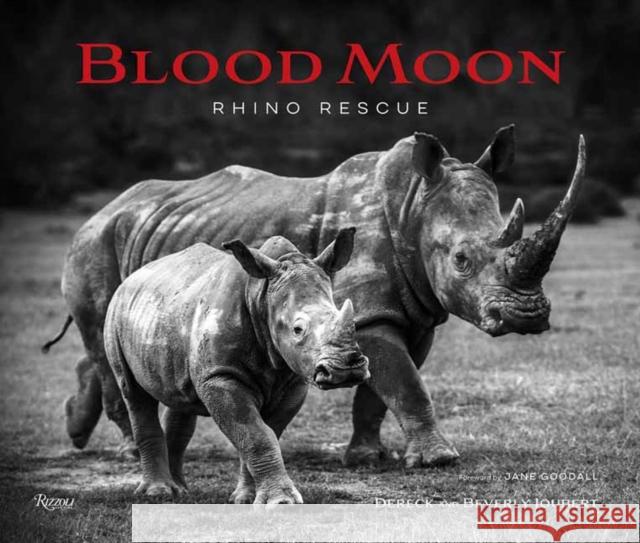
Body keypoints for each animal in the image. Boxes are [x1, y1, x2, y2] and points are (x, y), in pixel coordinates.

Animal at [45, 125, 586, 468]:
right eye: (461, 260)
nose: (529, 315)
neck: (412, 206)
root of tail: (104, 208)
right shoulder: (370, 314)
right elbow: (406, 383)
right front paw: (438, 460)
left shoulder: (415, 313)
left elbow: (380, 389)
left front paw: (368, 458)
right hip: (93, 243)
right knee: (103, 341)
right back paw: (129, 454)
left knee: (106, 346)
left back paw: (77, 430)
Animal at [103, 230, 369, 502]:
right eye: (298, 329)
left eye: (353, 324)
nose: (346, 369)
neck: (261, 297)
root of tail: (132, 277)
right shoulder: (220, 377)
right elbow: (256, 436)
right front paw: (281, 501)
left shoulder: (293, 382)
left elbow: (266, 432)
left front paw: (246, 498)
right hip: (114, 313)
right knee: (134, 394)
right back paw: (158, 492)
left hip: (165, 312)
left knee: (179, 398)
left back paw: (180, 490)